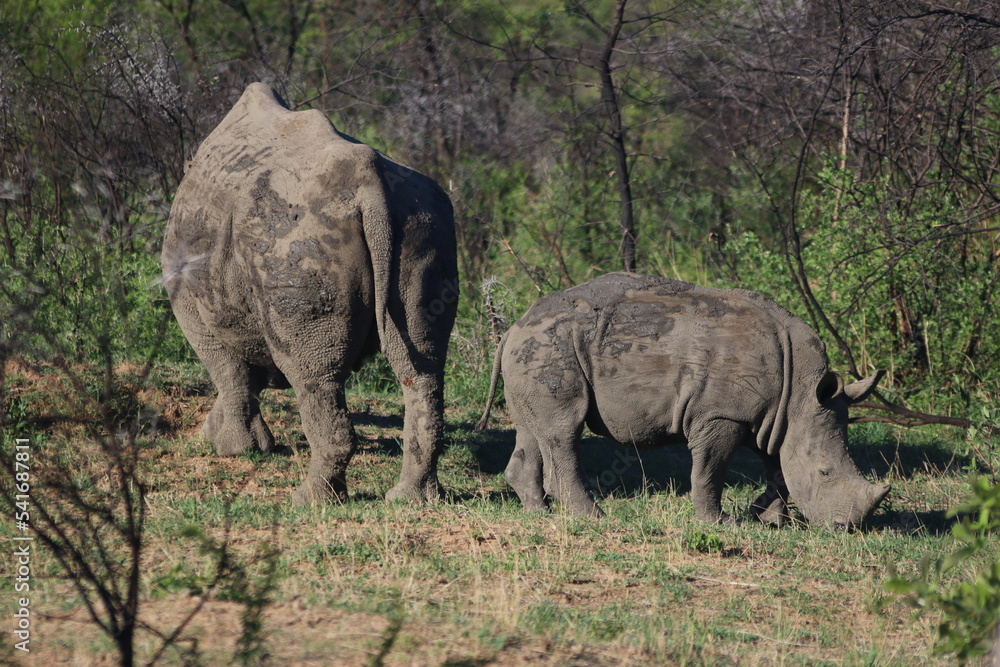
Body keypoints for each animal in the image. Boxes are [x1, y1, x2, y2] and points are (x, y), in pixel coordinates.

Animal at [162, 83, 458, 505]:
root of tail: (368, 184)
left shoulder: (187, 291)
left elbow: (226, 367)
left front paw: (235, 449)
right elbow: (242, 372)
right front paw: (220, 434)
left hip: (297, 236)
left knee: (314, 374)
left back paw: (310, 500)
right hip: (424, 222)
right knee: (421, 366)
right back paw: (410, 498)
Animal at [478, 272, 889, 529]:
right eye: (825, 472)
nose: (845, 528)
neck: (802, 391)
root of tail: (513, 327)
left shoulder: (775, 417)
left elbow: (778, 468)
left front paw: (768, 520)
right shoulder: (722, 414)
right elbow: (710, 470)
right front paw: (720, 523)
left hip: (535, 352)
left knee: (534, 429)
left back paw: (540, 513)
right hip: (552, 347)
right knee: (563, 430)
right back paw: (592, 517)